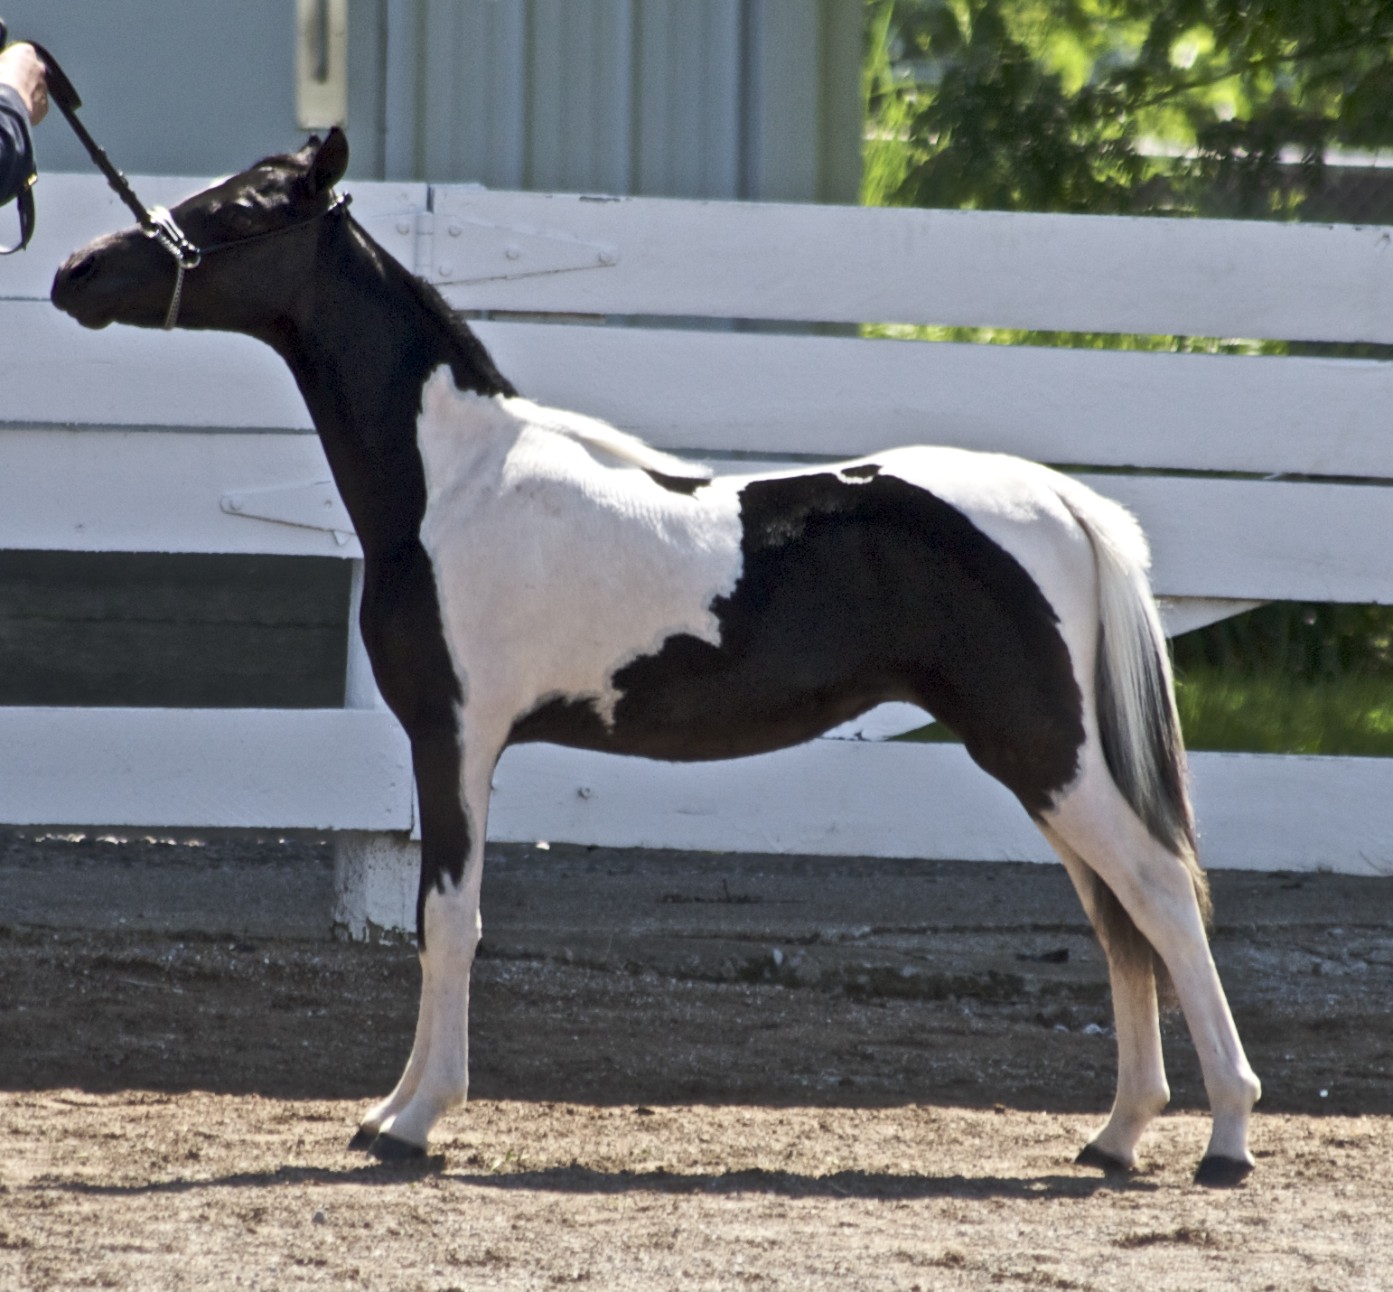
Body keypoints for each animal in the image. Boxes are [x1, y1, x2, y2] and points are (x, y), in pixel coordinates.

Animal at [51, 129, 1260, 1185]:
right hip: (1044, 759)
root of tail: (1063, 504)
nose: (76, 270)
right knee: (1118, 917)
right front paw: (390, 1111)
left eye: (243, 209)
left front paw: (413, 1119)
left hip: (1042, 748)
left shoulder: (455, 737)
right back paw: (1116, 1135)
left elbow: (448, 920)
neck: (456, 482)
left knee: (1157, 892)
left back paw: (1225, 1139)